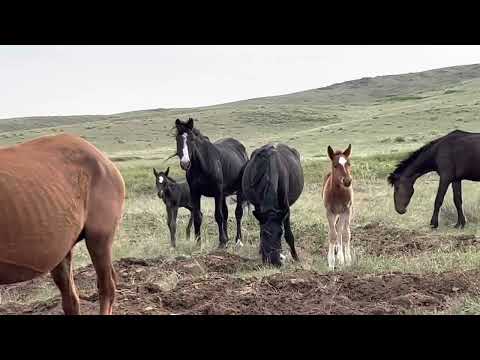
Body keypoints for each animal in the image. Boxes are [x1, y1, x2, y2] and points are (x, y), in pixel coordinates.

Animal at [173, 118, 249, 248]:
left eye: (192, 139)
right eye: (178, 140)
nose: (185, 163)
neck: (202, 166)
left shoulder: (217, 192)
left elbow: (218, 215)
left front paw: (222, 242)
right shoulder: (195, 193)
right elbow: (198, 217)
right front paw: (198, 243)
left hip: (239, 191)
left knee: (238, 213)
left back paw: (238, 240)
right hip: (224, 194)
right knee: (226, 213)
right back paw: (228, 238)